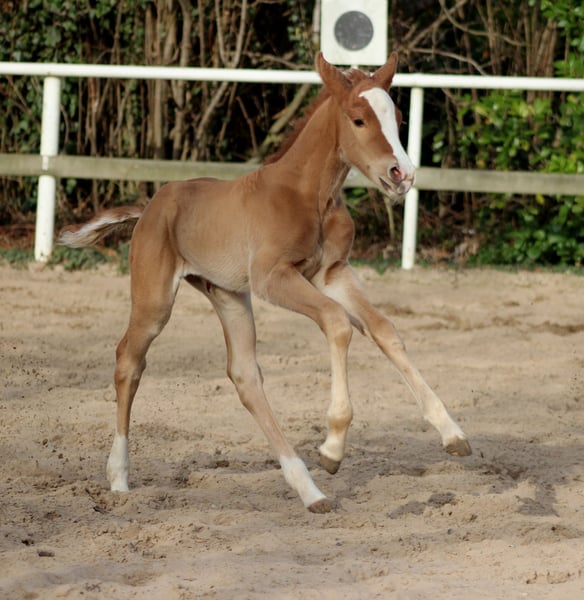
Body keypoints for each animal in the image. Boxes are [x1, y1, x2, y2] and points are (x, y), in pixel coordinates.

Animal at [58, 52, 471, 513]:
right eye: (359, 120)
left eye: (398, 118)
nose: (402, 174)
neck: (309, 195)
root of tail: (150, 206)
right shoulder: (274, 278)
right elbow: (337, 323)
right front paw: (332, 448)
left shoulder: (332, 272)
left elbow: (384, 329)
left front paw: (452, 432)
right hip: (156, 301)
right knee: (129, 360)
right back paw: (119, 477)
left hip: (229, 295)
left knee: (244, 375)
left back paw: (309, 490)